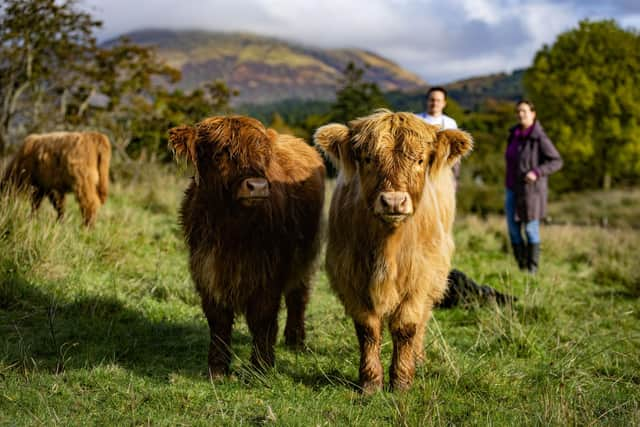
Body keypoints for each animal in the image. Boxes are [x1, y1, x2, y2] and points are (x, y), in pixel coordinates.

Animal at [170, 116, 324, 378]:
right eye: (220, 153)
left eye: (263, 156)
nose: (258, 186)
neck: (232, 229)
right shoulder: (207, 269)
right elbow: (218, 320)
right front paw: (217, 369)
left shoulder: (268, 272)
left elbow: (262, 319)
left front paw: (262, 367)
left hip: (305, 255)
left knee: (298, 296)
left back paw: (295, 341)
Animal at [312, 110, 472, 394]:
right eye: (368, 158)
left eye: (420, 160)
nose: (394, 201)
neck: (388, 245)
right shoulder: (350, 274)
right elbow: (368, 329)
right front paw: (370, 382)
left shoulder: (420, 276)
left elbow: (406, 326)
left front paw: (401, 381)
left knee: (423, 319)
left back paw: (418, 358)